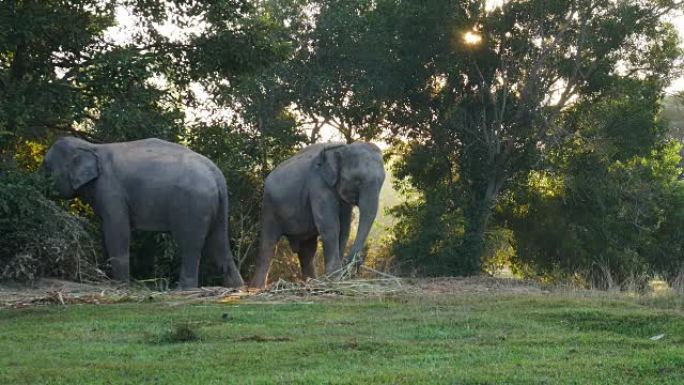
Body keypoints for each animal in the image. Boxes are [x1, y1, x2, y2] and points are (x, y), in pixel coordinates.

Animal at [41, 136, 244, 288]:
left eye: (46, 168)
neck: (91, 147)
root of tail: (216, 173)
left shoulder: (110, 189)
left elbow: (117, 230)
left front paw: (121, 286)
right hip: (215, 206)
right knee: (219, 242)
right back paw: (236, 287)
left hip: (193, 204)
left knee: (190, 244)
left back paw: (183, 290)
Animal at [254, 142, 388, 286]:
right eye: (357, 180)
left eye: (382, 182)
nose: (354, 263)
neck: (342, 148)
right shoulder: (318, 185)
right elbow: (330, 226)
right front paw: (334, 278)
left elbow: (344, 229)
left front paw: (335, 278)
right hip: (269, 207)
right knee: (268, 246)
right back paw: (258, 287)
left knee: (307, 251)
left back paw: (311, 282)